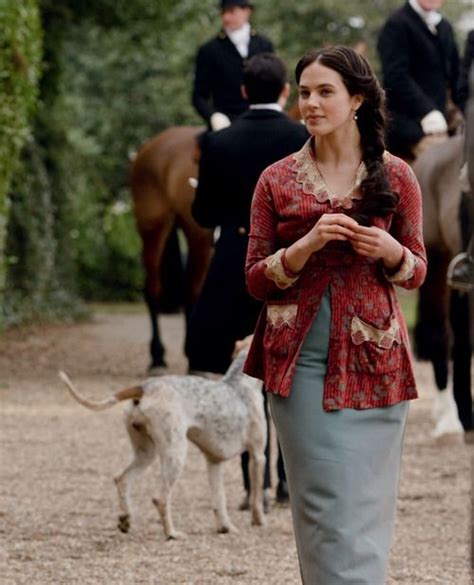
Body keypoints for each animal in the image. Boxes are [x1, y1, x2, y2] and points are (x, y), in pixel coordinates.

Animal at [58, 344, 266, 540]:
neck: (239, 382)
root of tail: (145, 388)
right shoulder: (257, 456)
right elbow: (256, 497)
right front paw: (258, 520)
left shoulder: (214, 462)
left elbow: (219, 500)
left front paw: (225, 527)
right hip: (176, 454)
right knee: (161, 499)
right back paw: (171, 533)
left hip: (146, 453)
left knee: (122, 479)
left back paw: (125, 519)